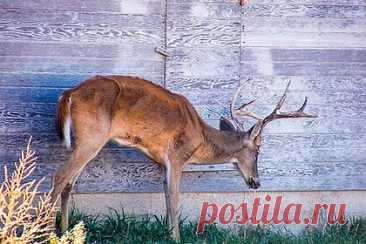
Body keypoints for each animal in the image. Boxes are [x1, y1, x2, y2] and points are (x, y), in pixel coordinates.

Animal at [50, 76, 316, 240]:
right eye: (258, 151)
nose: (257, 183)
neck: (200, 136)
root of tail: (68, 94)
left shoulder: (161, 162)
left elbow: (167, 198)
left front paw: (167, 234)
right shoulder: (177, 155)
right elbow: (176, 199)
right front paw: (176, 238)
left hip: (85, 141)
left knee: (69, 183)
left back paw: (65, 231)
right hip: (92, 136)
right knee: (59, 177)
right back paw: (46, 230)